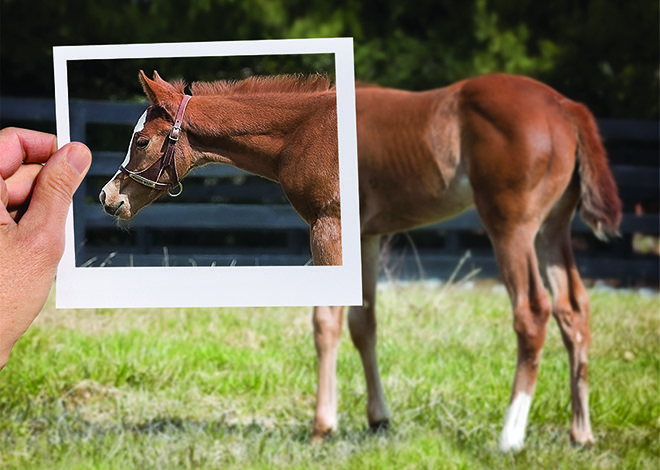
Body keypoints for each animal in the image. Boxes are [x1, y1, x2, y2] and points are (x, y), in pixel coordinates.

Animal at [98, 70, 620, 452]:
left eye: (141, 141)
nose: (108, 197)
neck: (303, 130)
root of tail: (565, 107)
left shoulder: (328, 225)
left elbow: (326, 321)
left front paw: (322, 426)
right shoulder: (367, 236)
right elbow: (363, 323)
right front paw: (378, 419)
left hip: (511, 226)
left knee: (533, 312)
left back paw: (510, 436)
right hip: (552, 228)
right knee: (575, 310)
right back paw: (581, 433)